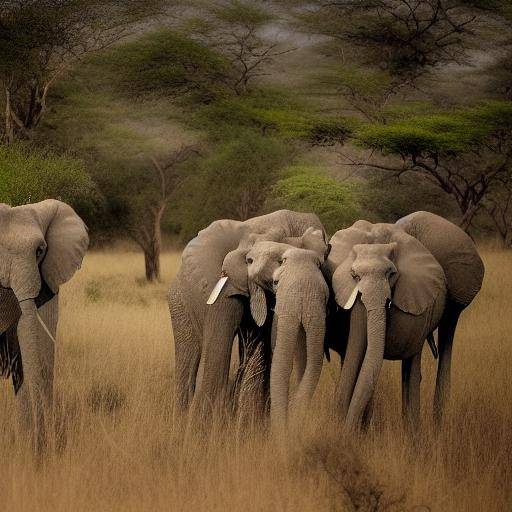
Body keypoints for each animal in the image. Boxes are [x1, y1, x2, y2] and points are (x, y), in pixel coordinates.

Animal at [169, 209, 328, 420]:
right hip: (179, 301)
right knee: (190, 354)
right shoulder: (221, 290)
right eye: (280, 262)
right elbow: (217, 355)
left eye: (321, 263)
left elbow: (258, 350)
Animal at [326, 220, 446, 432]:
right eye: (354, 275)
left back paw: (413, 434)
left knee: (412, 365)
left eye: (391, 274)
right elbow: (356, 352)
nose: (344, 431)